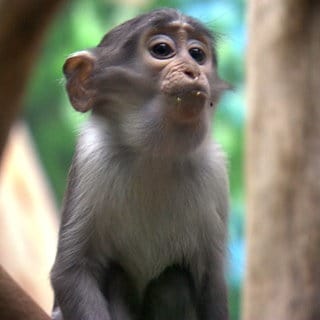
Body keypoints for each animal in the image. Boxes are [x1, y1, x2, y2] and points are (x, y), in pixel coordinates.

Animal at [50, 7, 230, 320]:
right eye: (162, 50)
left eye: (197, 54)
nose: (193, 71)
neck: (156, 156)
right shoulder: (91, 156)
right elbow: (71, 272)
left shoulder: (216, 171)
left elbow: (213, 283)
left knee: (173, 281)